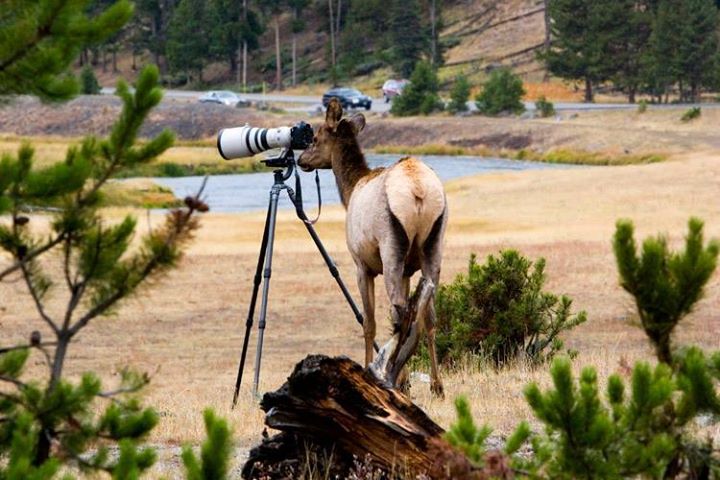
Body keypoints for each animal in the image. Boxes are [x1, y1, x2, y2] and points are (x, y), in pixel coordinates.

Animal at [297, 99, 447, 397]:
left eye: (316, 137)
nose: (300, 160)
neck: (350, 190)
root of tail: (419, 192)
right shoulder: (407, 271)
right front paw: (408, 379)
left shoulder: (361, 264)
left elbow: (368, 322)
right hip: (434, 245)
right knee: (428, 315)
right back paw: (436, 385)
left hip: (390, 248)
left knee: (399, 312)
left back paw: (391, 377)